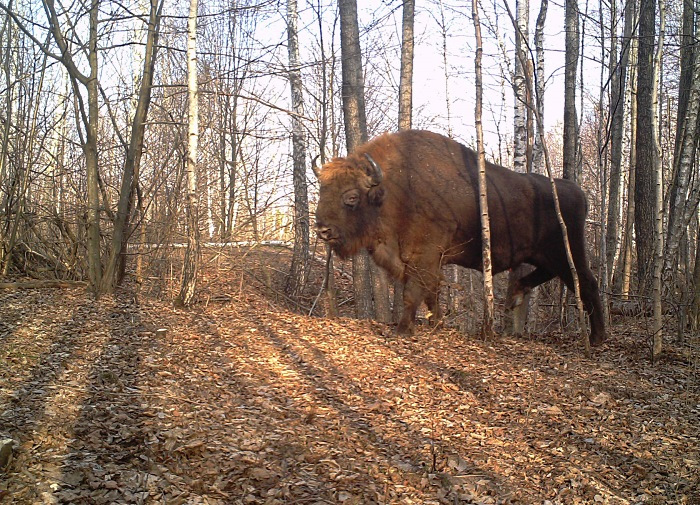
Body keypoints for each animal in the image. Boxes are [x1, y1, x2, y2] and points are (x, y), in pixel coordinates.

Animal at [318, 128, 608, 344]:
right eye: (322, 191)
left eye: (351, 197)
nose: (323, 229)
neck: (393, 190)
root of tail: (578, 192)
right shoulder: (427, 260)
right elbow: (431, 293)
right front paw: (436, 324)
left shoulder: (424, 255)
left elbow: (413, 292)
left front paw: (402, 330)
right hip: (545, 255)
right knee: (549, 277)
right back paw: (516, 294)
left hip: (566, 251)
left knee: (587, 282)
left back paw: (597, 338)